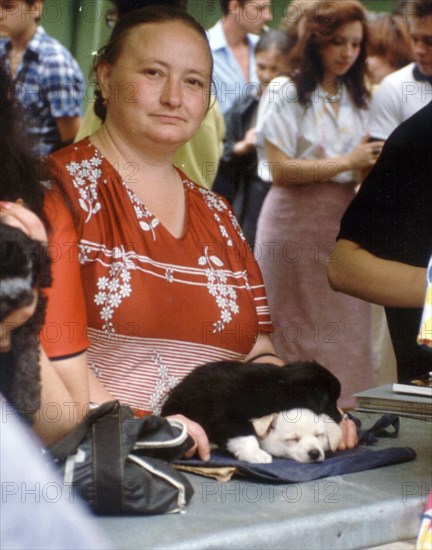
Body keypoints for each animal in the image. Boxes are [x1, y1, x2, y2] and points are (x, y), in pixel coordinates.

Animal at [160, 362, 342, 466]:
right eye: (330, 401)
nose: (342, 418)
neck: (279, 388)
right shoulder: (229, 416)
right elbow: (246, 435)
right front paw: (256, 454)